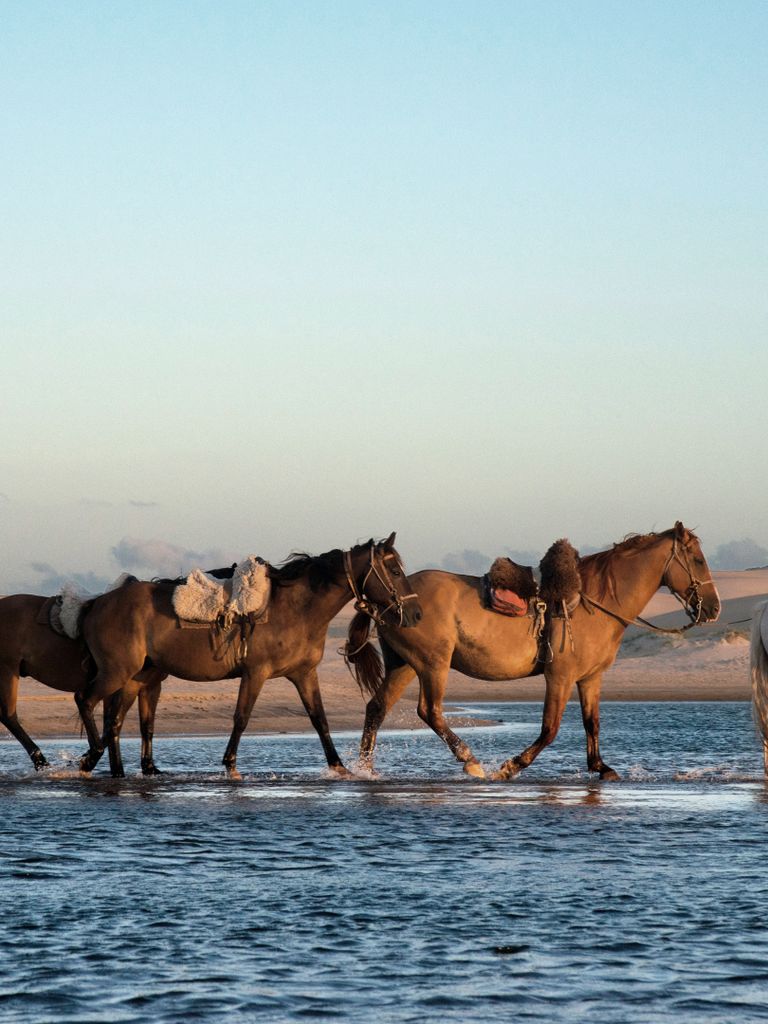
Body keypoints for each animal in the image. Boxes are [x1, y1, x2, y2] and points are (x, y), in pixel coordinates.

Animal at [0, 593, 166, 774]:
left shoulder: (149, 686)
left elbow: (140, 726)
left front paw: (145, 768)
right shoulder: (125, 684)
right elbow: (112, 725)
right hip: (8, 670)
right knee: (9, 716)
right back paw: (42, 762)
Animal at [78, 534, 422, 778]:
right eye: (394, 570)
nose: (416, 614)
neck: (297, 609)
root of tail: (97, 603)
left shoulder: (304, 674)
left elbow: (319, 719)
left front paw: (339, 765)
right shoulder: (256, 673)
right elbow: (241, 718)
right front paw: (230, 764)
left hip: (136, 676)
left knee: (114, 720)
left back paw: (116, 770)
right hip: (116, 672)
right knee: (86, 700)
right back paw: (90, 757)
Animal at [347, 523, 720, 780]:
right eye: (698, 560)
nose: (714, 608)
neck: (594, 601)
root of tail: (392, 600)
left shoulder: (590, 679)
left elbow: (592, 723)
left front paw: (601, 767)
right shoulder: (560, 676)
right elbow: (549, 729)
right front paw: (512, 766)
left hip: (404, 664)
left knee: (377, 708)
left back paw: (364, 769)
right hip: (432, 664)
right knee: (430, 711)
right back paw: (470, 761)